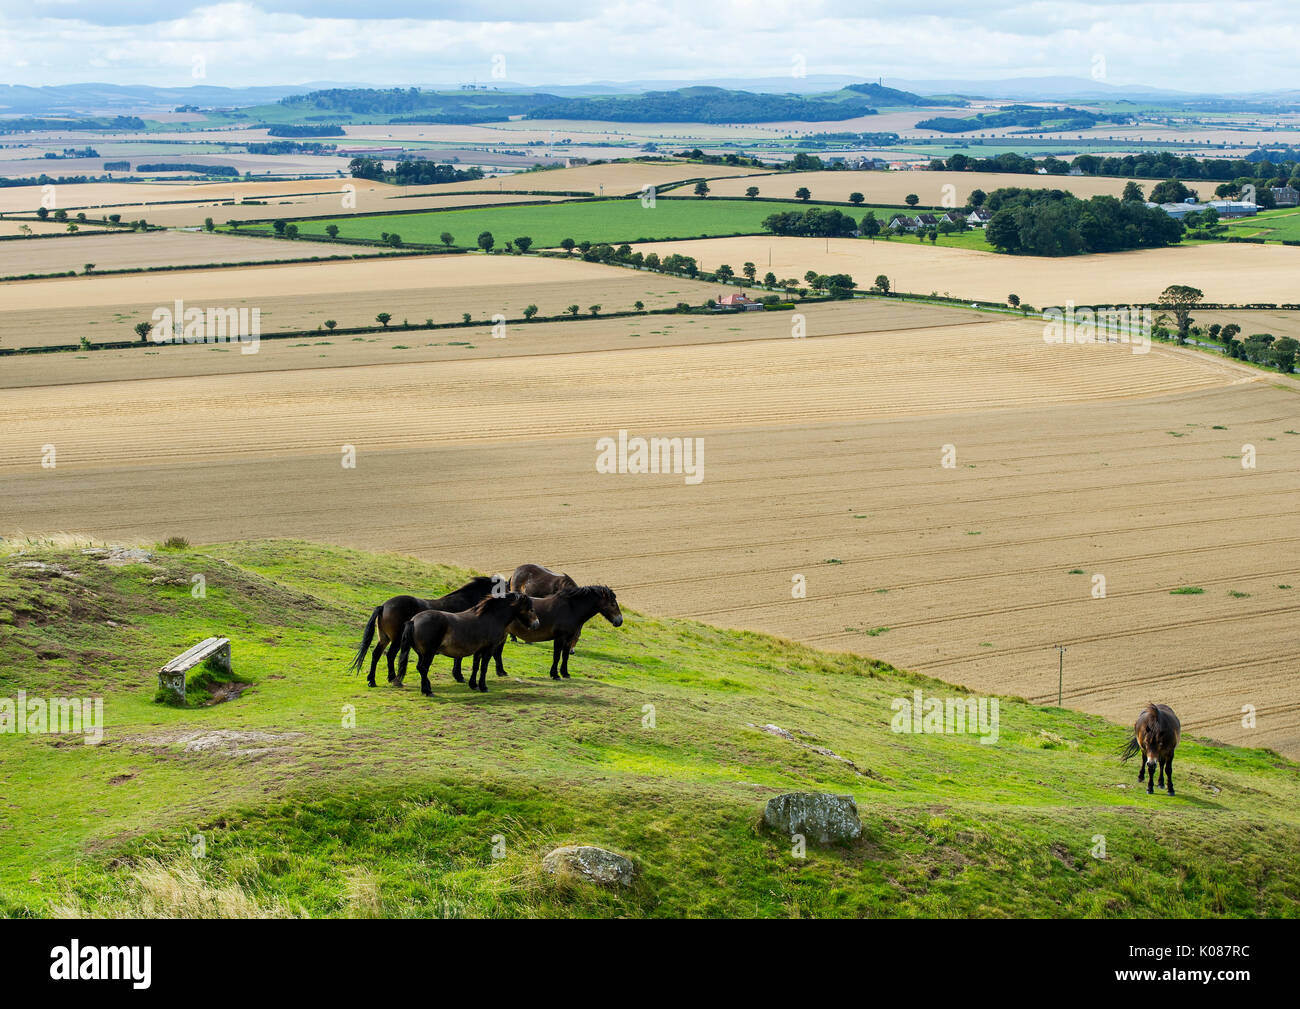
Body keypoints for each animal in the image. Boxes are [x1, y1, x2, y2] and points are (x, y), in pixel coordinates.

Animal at [351, 574, 496, 686]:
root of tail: (383, 606)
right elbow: (458, 657)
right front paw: (459, 676)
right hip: (396, 640)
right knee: (390, 655)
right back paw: (393, 678)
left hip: (384, 638)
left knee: (376, 654)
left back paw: (372, 680)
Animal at [395, 590, 538, 691]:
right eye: (531, 608)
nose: (537, 624)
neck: (491, 617)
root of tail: (414, 620)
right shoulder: (489, 649)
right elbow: (484, 667)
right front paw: (483, 687)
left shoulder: (478, 650)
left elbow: (475, 666)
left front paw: (473, 684)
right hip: (429, 653)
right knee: (423, 668)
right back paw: (427, 691)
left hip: (421, 654)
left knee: (420, 668)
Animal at [478, 587, 624, 681]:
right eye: (612, 603)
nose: (620, 621)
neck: (571, 609)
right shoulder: (560, 638)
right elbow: (557, 656)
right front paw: (555, 675)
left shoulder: (568, 639)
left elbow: (565, 656)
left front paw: (565, 673)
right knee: (497, 653)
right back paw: (501, 672)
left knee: (497, 653)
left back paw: (501, 672)